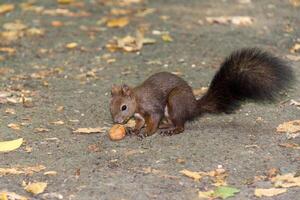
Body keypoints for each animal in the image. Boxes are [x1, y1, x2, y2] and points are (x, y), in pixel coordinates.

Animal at [109, 47, 294, 137]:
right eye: (110, 107)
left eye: (124, 107)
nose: (117, 121)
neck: (137, 100)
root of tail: (194, 107)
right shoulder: (139, 116)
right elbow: (140, 122)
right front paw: (134, 130)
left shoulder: (152, 107)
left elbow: (153, 119)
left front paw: (146, 133)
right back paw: (167, 126)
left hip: (175, 101)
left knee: (181, 125)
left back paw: (171, 130)